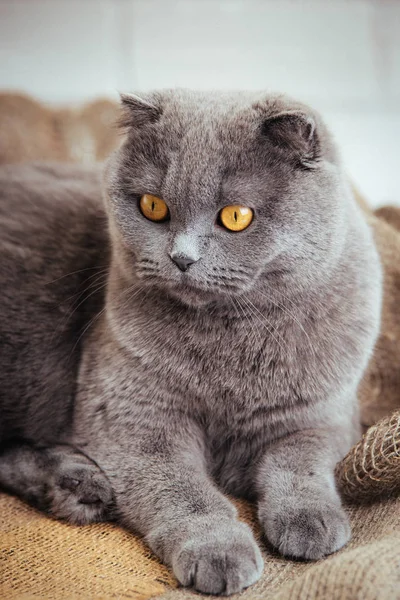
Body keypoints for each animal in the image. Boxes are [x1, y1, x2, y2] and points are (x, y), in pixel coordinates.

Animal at [0, 89, 382, 596]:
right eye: (152, 206)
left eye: (236, 216)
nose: (181, 257)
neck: (232, 338)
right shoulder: (134, 421)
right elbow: (184, 492)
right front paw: (218, 552)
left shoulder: (324, 414)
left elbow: (298, 461)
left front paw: (311, 522)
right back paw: (80, 487)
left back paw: (76, 486)